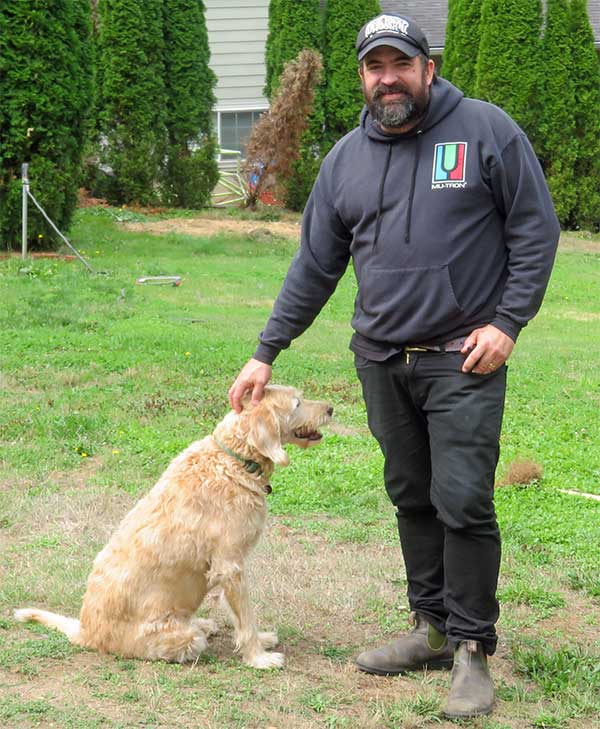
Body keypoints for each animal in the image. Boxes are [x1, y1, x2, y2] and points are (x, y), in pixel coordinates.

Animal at [15, 384, 332, 668]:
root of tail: (84, 632)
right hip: (180, 638)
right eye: (297, 403)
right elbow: (245, 617)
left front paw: (261, 641)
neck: (235, 460)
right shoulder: (230, 565)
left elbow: (237, 614)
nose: (330, 408)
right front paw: (259, 658)